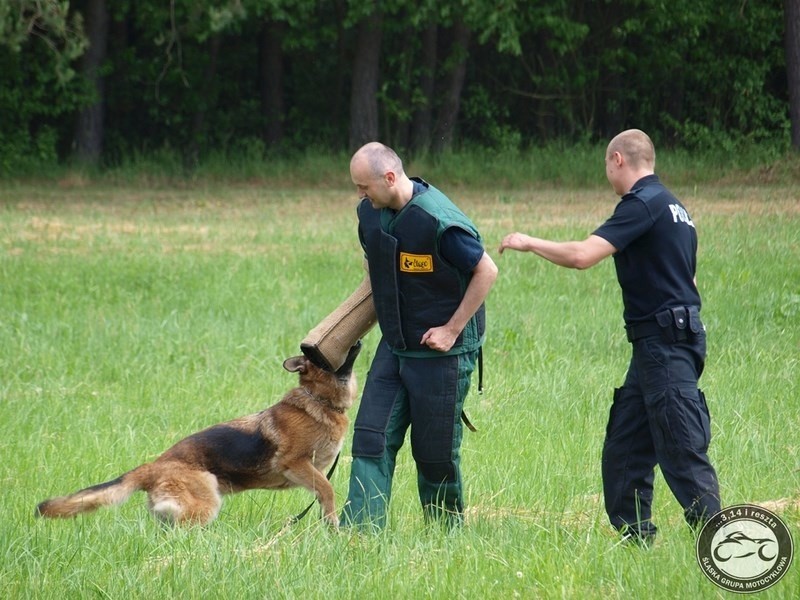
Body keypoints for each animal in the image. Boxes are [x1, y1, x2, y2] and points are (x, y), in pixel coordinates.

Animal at [36, 344, 360, 528]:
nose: (357, 340)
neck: (320, 401)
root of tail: (152, 467)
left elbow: (322, 492)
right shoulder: (295, 463)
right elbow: (328, 490)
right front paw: (332, 525)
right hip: (206, 496)